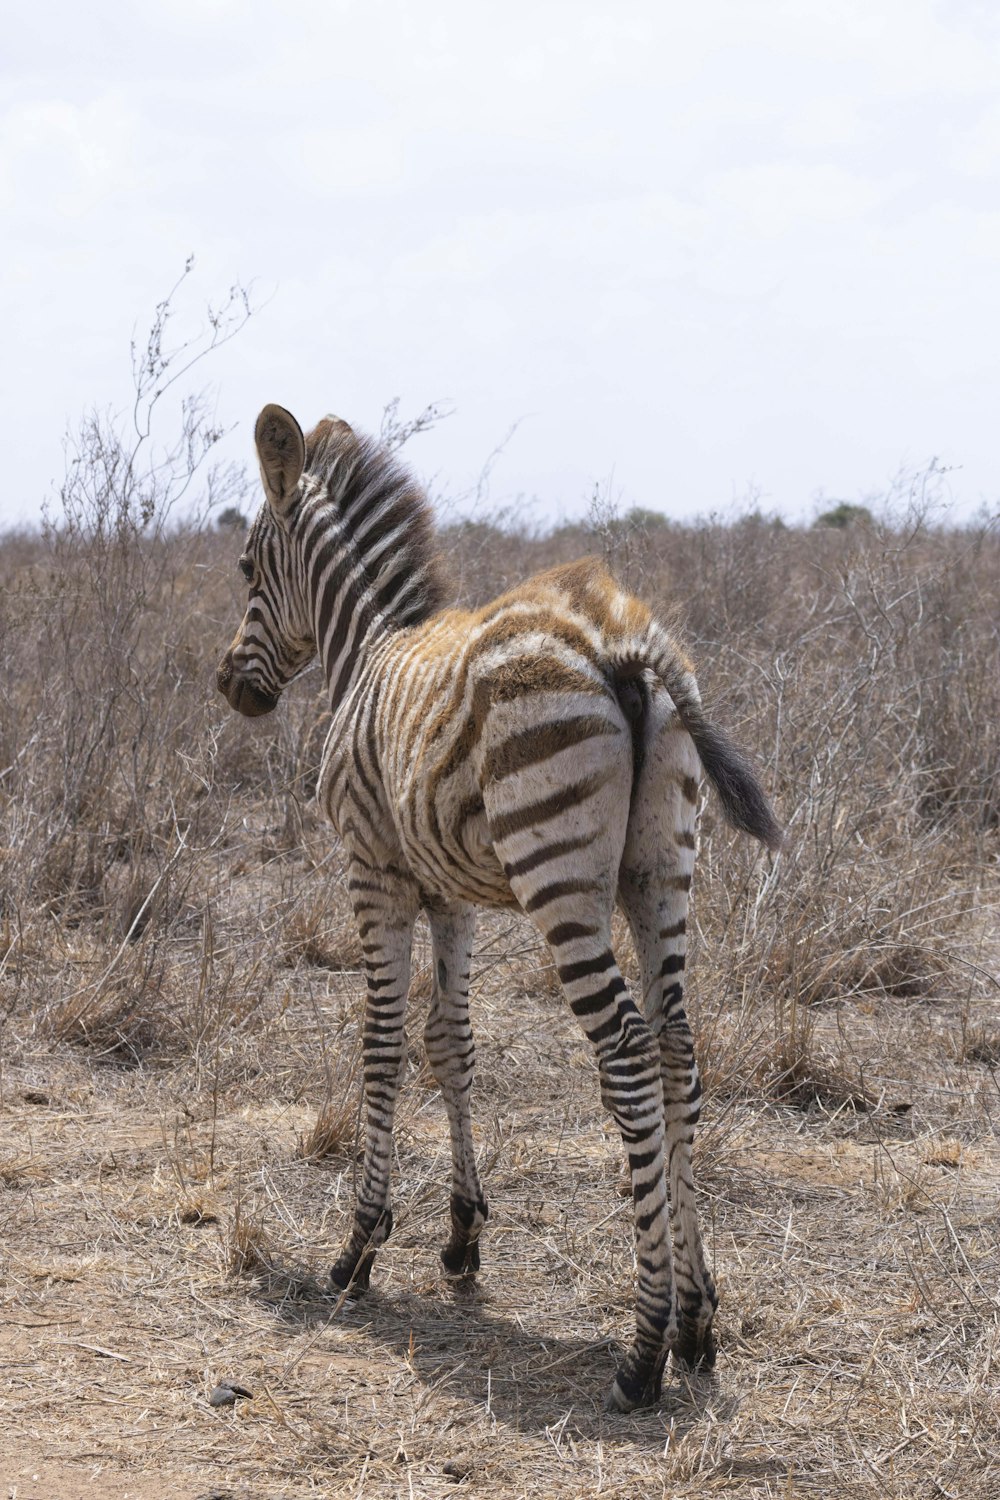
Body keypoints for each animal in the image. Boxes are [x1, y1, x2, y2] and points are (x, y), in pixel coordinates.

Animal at [217, 405, 779, 1410]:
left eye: (247, 568)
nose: (228, 688)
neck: (365, 650)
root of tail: (621, 639)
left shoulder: (375, 872)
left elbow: (383, 1046)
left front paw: (359, 1248)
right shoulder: (452, 893)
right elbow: (453, 1043)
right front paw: (462, 1238)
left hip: (559, 876)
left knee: (627, 1051)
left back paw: (642, 1351)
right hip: (659, 870)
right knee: (677, 1048)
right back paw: (697, 1322)